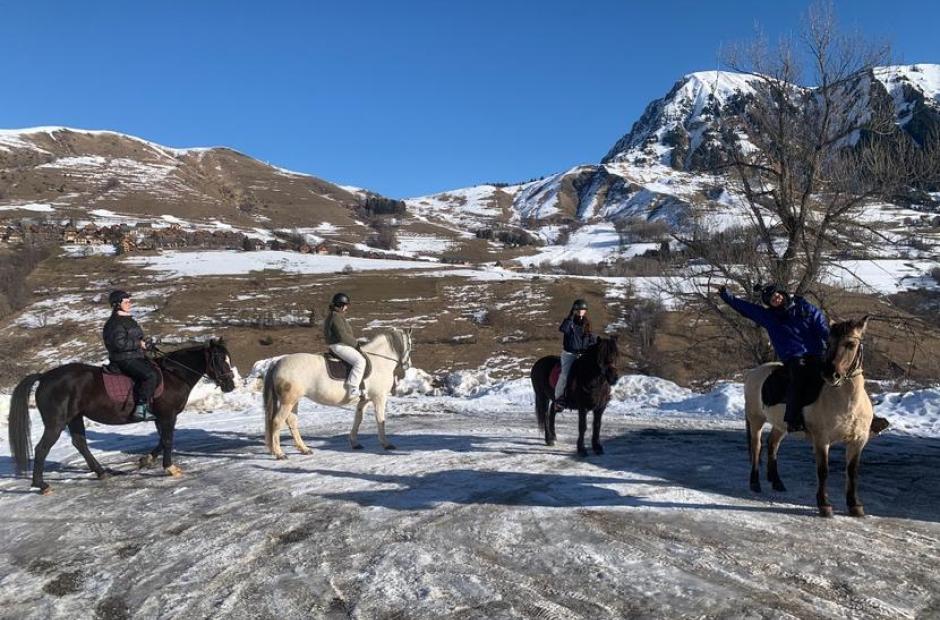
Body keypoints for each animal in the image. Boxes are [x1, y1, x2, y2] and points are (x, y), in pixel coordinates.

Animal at [8, 339, 237, 494]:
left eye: (228, 358)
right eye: (218, 359)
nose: (230, 385)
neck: (174, 375)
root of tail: (44, 377)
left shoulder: (160, 417)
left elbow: (162, 440)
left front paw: (146, 460)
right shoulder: (167, 415)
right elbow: (168, 439)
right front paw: (169, 468)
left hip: (75, 417)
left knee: (80, 443)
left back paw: (101, 472)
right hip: (56, 422)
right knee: (42, 448)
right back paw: (41, 485)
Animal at [262, 328, 413, 459]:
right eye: (410, 345)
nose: (408, 365)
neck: (380, 361)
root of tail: (277, 363)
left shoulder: (364, 400)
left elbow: (358, 419)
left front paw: (355, 443)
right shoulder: (379, 398)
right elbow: (380, 420)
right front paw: (386, 444)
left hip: (294, 401)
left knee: (292, 422)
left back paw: (304, 449)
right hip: (288, 401)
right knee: (277, 421)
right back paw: (279, 453)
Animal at [744, 317, 874, 517]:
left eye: (850, 344)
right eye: (829, 343)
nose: (830, 374)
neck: (848, 402)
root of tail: (752, 373)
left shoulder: (858, 441)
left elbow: (852, 472)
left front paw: (855, 505)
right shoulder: (822, 440)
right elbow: (823, 471)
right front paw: (824, 505)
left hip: (781, 426)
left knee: (773, 445)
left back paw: (777, 482)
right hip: (756, 420)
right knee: (756, 447)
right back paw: (755, 483)